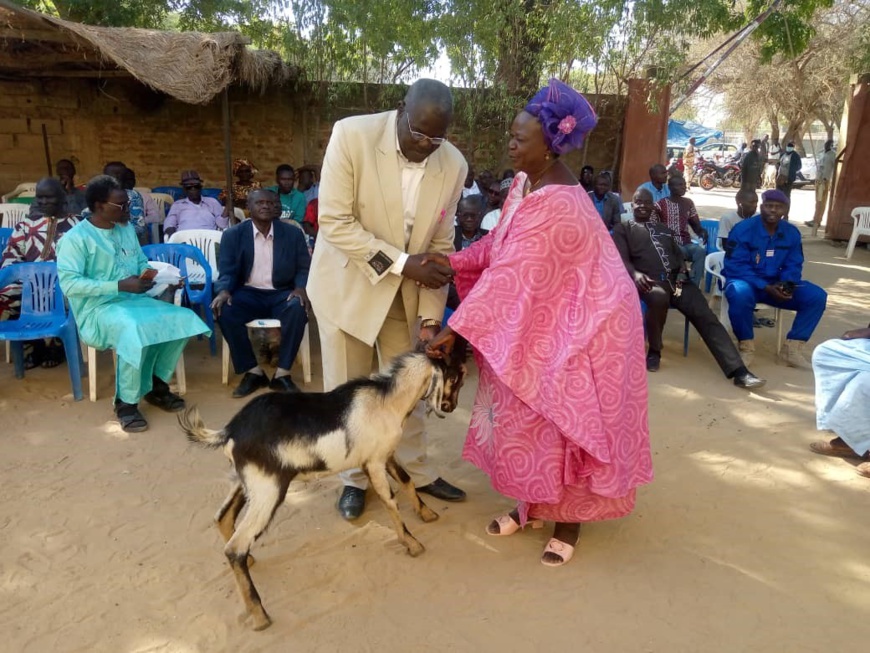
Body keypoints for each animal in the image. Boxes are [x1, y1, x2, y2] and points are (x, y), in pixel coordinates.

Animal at [179, 348, 470, 628]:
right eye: (454, 378)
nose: (452, 407)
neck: (387, 400)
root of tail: (230, 431)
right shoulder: (374, 462)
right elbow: (389, 500)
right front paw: (412, 543)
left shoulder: (387, 454)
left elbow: (407, 481)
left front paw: (427, 513)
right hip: (268, 490)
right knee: (234, 547)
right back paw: (260, 616)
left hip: (245, 481)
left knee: (223, 517)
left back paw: (249, 562)